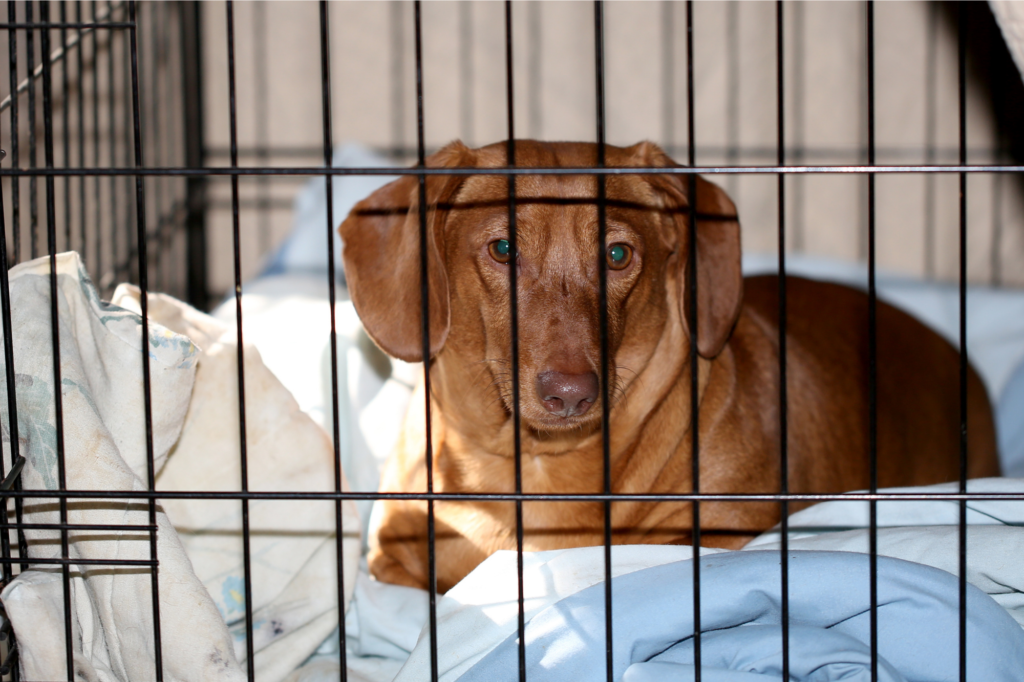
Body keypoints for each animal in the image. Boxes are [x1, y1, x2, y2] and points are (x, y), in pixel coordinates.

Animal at [339, 140, 995, 593]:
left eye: (617, 253)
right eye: (503, 248)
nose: (571, 393)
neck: (537, 471)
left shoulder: (719, 529)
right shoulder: (388, 562)